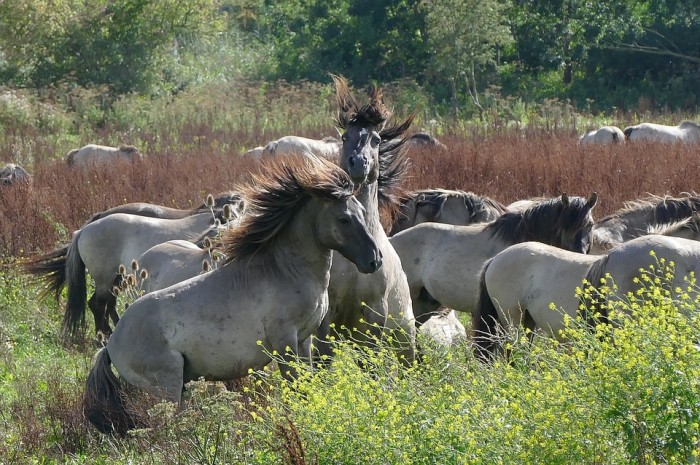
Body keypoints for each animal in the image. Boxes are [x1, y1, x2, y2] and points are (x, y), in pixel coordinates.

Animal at [23, 210, 216, 338]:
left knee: (105, 304)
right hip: (105, 279)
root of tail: (83, 231)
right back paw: (104, 336)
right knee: (98, 304)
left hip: (116, 279)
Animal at [85, 155, 386, 436]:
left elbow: (305, 383)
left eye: (362, 211)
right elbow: (293, 387)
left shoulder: (304, 340)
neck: (284, 271)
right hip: (166, 387)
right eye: (344, 219)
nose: (375, 260)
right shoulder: (285, 342)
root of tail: (110, 343)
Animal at [310, 73, 416, 362]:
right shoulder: (329, 315)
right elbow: (324, 357)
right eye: (345, 136)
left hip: (405, 345)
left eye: (376, 140)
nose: (358, 163)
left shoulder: (375, 313)